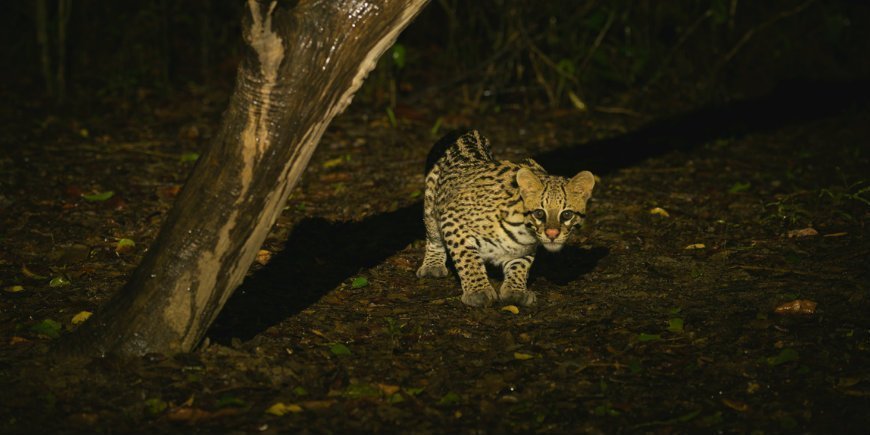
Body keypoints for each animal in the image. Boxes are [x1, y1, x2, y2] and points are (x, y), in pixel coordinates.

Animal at [418, 131, 596, 308]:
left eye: (567, 214)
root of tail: (467, 133)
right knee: (433, 237)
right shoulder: (453, 220)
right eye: (539, 213)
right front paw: (478, 291)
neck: (523, 228)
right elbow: (467, 258)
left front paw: (515, 290)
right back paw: (432, 265)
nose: (552, 234)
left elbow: (521, 265)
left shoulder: (525, 247)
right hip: (431, 209)